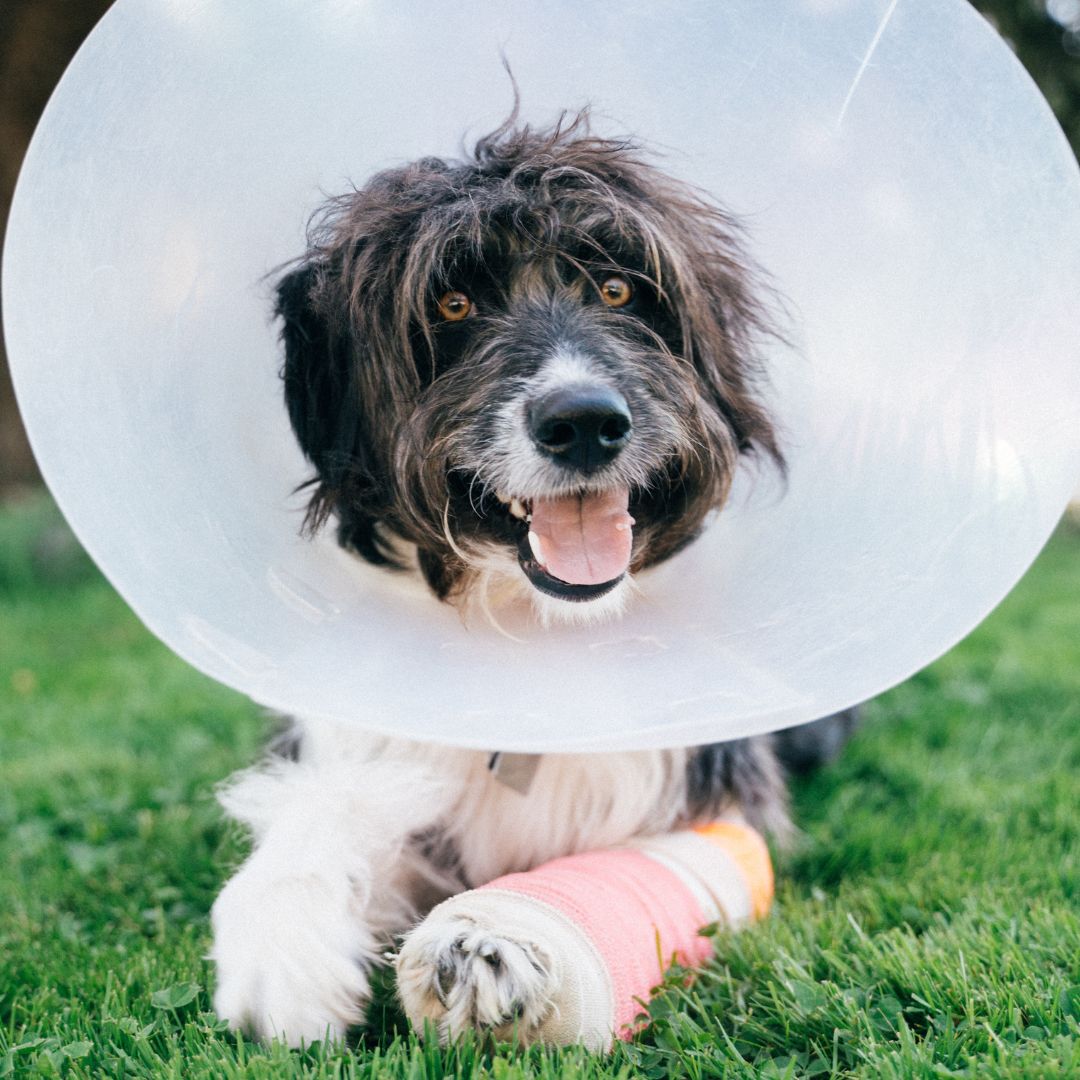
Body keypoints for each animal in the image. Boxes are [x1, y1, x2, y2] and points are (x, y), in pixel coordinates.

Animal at [208, 111, 851, 1045]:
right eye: (452, 304)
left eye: (620, 290)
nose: (583, 422)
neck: (535, 632)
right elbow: (328, 808)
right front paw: (283, 941)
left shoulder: (712, 801)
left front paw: (498, 941)